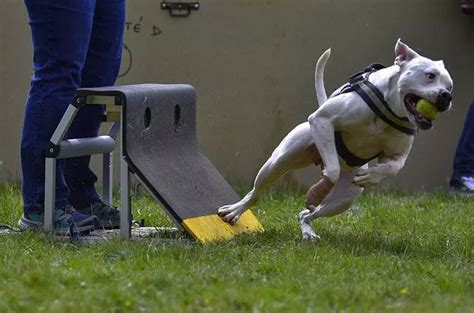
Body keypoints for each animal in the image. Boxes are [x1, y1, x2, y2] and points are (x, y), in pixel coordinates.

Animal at [217, 39, 454, 239]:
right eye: (430, 75)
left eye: (450, 86)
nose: (446, 96)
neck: (389, 110)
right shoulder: (323, 120)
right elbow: (331, 170)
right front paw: (318, 190)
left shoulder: (397, 155)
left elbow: (392, 167)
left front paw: (371, 176)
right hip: (279, 161)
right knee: (255, 193)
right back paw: (235, 211)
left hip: (344, 199)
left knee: (307, 213)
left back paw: (308, 231)